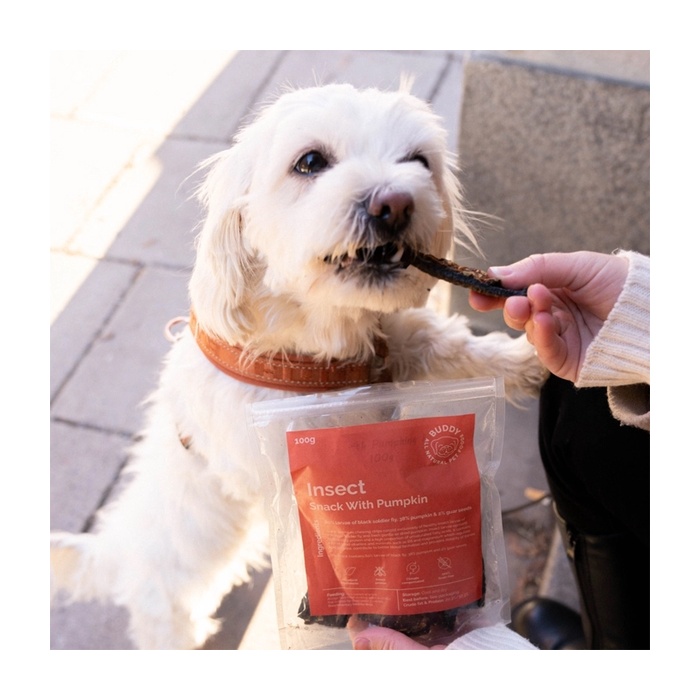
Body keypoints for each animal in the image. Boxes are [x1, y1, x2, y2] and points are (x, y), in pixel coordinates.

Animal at [50, 83, 546, 649]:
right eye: (309, 162)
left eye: (419, 161)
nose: (395, 203)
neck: (316, 351)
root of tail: (114, 552)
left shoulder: (395, 349)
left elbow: (445, 344)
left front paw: (532, 358)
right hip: (169, 609)